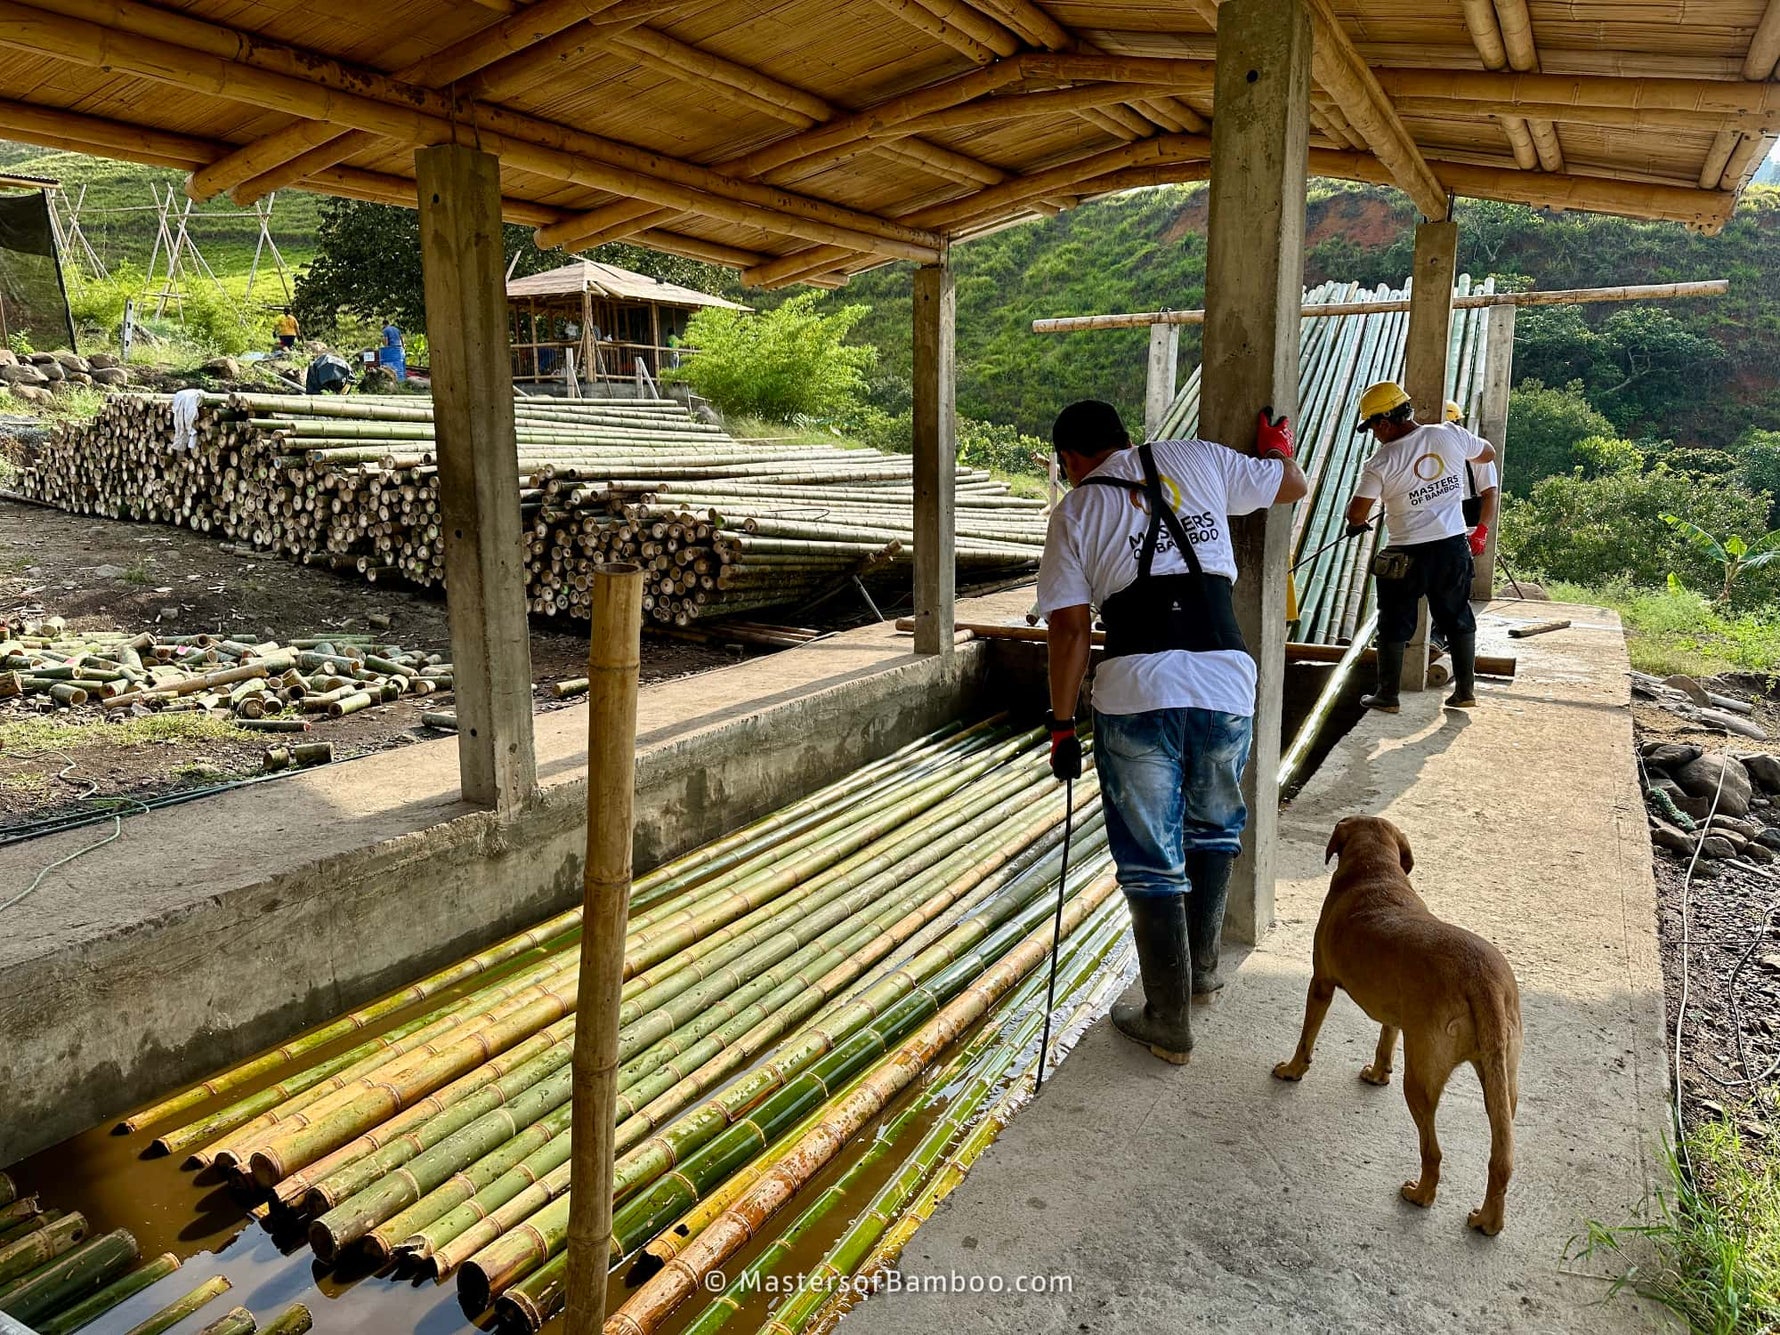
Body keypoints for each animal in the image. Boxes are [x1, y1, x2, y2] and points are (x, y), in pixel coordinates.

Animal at [1274, 811, 1523, 1238]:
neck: (1375, 870)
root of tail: (1483, 981)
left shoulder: (1320, 984)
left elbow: (1306, 1037)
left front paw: (1293, 1069)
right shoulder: (1395, 1013)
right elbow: (1386, 1038)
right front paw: (1377, 1074)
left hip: (1421, 1082)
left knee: (1433, 1151)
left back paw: (1421, 1194)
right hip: (1504, 1083)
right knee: (1500, 1157)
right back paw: (1489, 1221)